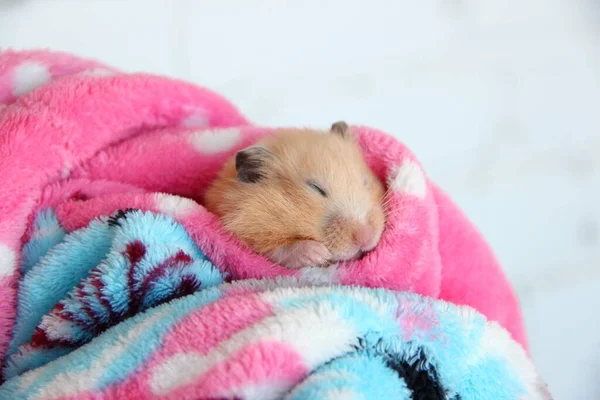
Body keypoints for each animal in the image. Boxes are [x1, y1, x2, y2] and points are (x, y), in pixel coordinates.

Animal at [204, 119, 386, 268]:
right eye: (316, 188)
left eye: (365, 181)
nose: (366, 237)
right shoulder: (243, 231)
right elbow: (278, 250)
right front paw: (318, 253)